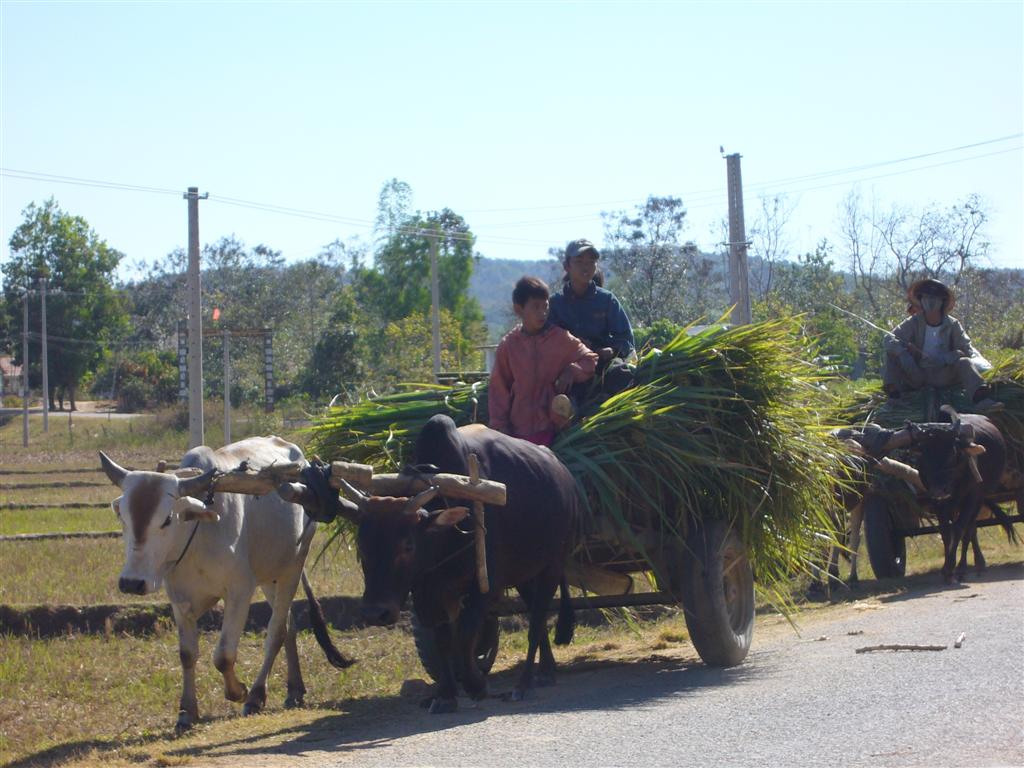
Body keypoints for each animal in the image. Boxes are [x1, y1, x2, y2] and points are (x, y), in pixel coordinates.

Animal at [99, 436, 353, 733]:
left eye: (167, 519)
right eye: (123, 518)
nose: (131, 583)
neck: (197, 534)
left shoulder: (239, 591)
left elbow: (223, 656)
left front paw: (238, 691)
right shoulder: (179, 600)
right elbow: (187, 654)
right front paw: (187, 712)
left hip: (293, 567)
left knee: (276, 631)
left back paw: (256, 696)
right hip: (270, 574)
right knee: (288, 625)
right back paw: (294, 689)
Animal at [301, 415, 578, 713]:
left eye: (407, 546)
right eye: (362, 546)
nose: (376, 613)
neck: (446, 537)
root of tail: (561, 471)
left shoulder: (485, 587)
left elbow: (465, 635)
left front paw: (475, 684)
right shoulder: (430, 593)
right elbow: (444, 639)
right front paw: (446, 694)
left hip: (552, 566)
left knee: (537, 621)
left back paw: (524, 683)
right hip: (525, 573)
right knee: (537, 615)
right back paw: (546, 670)